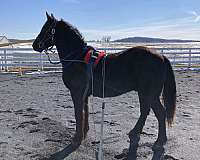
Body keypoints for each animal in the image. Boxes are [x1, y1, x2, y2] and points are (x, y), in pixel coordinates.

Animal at [33, 12, 177, 159]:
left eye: (46, 29)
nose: (34, 45)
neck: (78, 58)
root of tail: (161, 57)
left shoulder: (76, 93)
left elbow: (78, 114)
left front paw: (76, 139)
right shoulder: (84, 94)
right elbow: (85, 112)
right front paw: (84, 133)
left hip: (150, 94)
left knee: (160, 113)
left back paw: (160, 141)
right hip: (144, 93)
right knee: (145, 111)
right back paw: (135, 132)